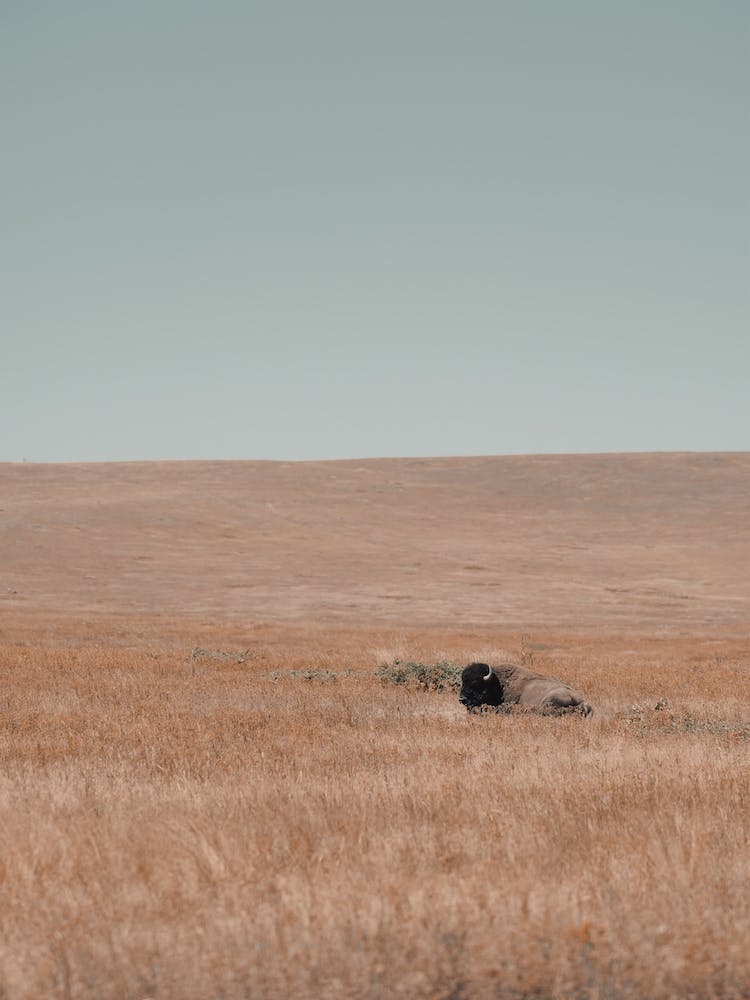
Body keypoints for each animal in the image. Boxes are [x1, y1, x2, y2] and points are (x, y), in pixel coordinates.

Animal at [459, 662, 593, 716]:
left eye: (476, 684)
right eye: (463, 682)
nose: (462, 699)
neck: (498, 684)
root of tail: (583, 701)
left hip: (550, 699)